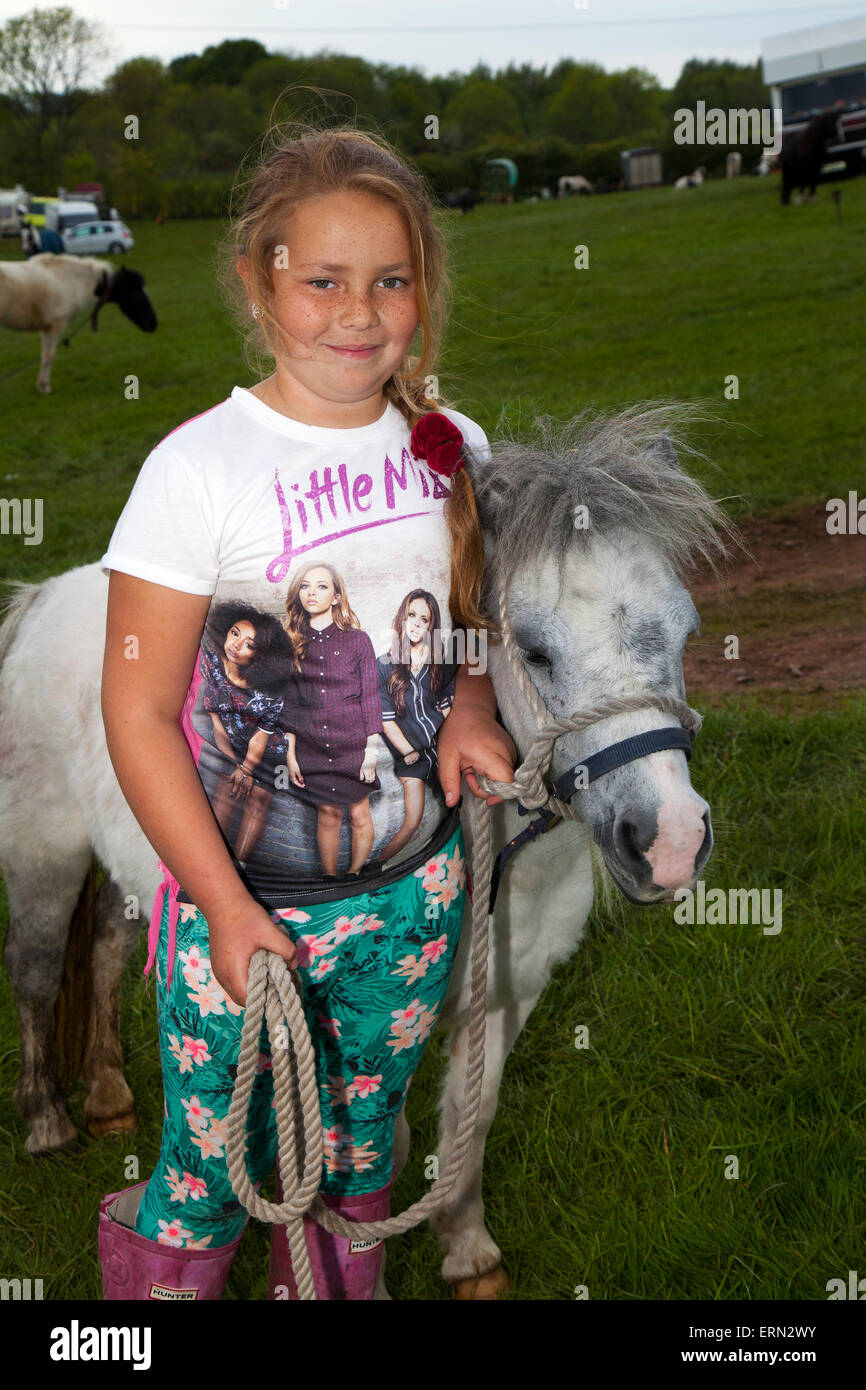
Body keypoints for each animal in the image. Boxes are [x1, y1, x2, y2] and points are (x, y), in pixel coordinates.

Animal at [0, 254, 157, 391]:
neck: (69, 280)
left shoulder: (46, 327)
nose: (153, 323)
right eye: (137, 293)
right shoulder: (56, 325)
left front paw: (41, 385)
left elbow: (44, 355)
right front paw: (44, 387)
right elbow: (49, 356)